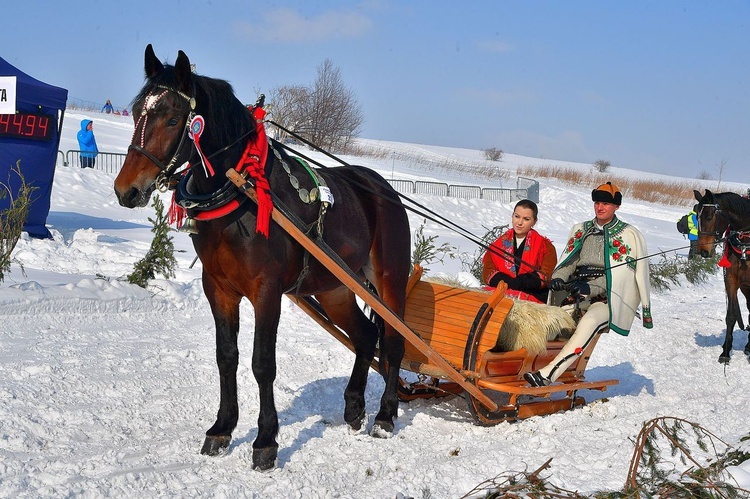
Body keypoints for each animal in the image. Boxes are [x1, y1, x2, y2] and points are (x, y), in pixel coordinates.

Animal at [113, 45, 412, 470]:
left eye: (172, 118)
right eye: (138, 110)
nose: (127, 190)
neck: (241, 192)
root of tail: (380, 187)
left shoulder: (266, 291)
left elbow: (261, 363)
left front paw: (266, 439)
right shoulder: (218, 288)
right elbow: (226, 357)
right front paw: (222, 428)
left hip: (390, 281)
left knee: (394, 342)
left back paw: (385, 415)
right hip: (334, 287)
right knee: (365, 337)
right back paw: (354, 407)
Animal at [696, 189, 748, 366]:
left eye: (709, 217)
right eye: (696, 217)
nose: (703, 251)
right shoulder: (731, 279)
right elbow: (731, 315)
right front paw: (726, 351)